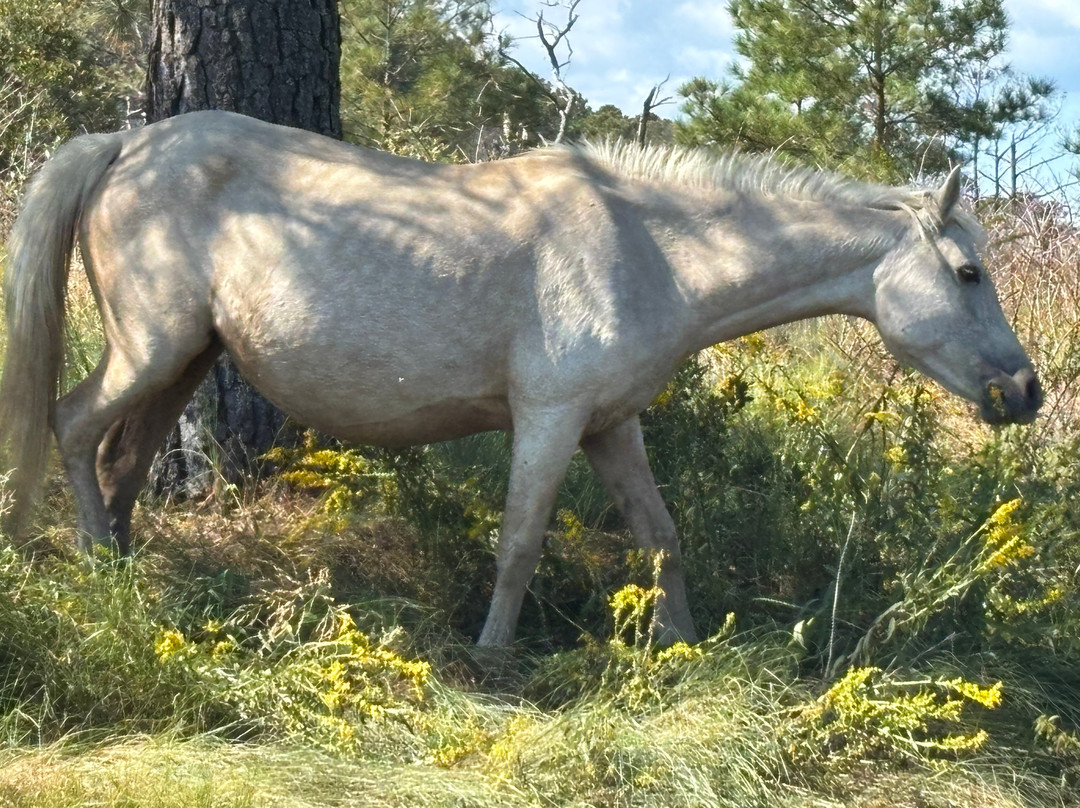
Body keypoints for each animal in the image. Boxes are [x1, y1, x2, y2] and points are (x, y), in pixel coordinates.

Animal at [0, 111, 1041, 646]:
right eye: (967, 274)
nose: (1026, 393)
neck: (648, 247)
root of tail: (128, 144)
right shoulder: (549, 419)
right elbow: (519, 544)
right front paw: (493, 657)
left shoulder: (610, 424)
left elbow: (662, 538)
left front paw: (680, 649)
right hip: (152, 347)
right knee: (73, 426)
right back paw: (99, 572)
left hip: (186, 361)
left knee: (124, 461)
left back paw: (127, 567)